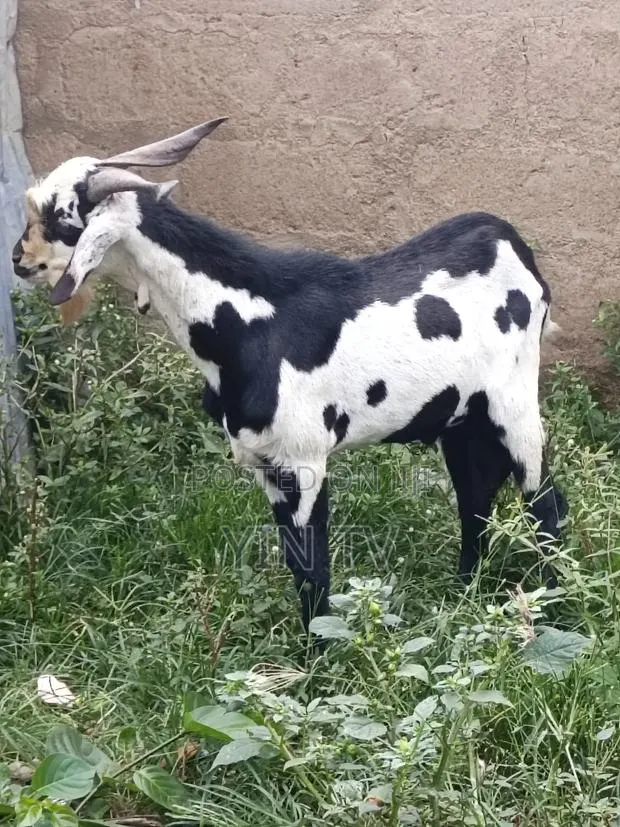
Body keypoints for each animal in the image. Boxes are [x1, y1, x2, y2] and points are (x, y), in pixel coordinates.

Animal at [12, 118, 568, 632]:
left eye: (62, 217)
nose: (19, 259)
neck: (254, 322)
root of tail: (511, 242)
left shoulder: (303, 462)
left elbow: (312, 567)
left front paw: (317, 661)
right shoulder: (266, 465)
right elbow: (295, 563)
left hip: (515, 404)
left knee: (545, 504)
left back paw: (552, 609)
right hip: (461, 419)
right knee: (476, 497)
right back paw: (463, 594)